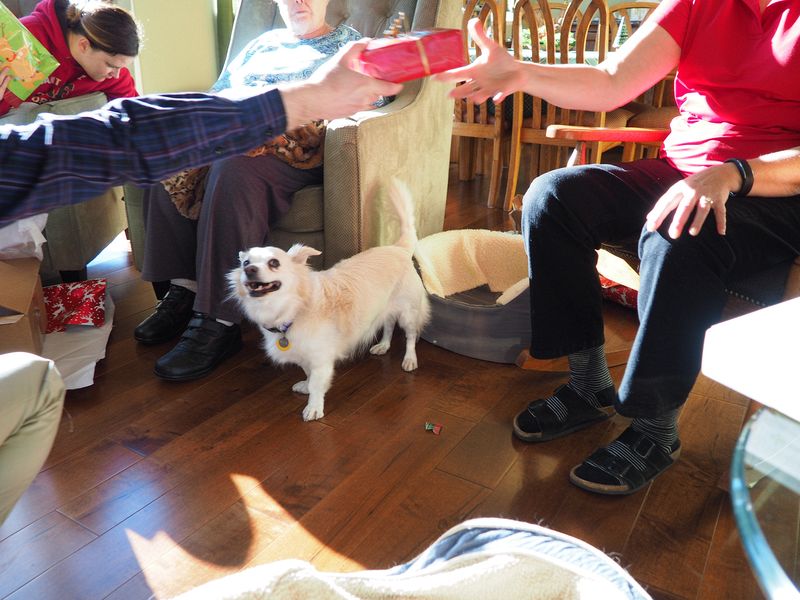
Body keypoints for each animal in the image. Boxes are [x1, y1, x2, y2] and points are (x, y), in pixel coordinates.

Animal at [228, 180, 432, 420]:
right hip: (385, 308)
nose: (249, 270)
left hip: (408, 313)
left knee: (410, 336)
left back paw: (410, 360)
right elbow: (308, 374)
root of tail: (398, 247)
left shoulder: (321, 359)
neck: (292, 310)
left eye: (274, 263)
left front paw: (314, 407)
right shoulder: (306, 356)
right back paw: (383, 345)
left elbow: (317, 384)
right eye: (246, 263)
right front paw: (305, 386)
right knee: (389, 325)